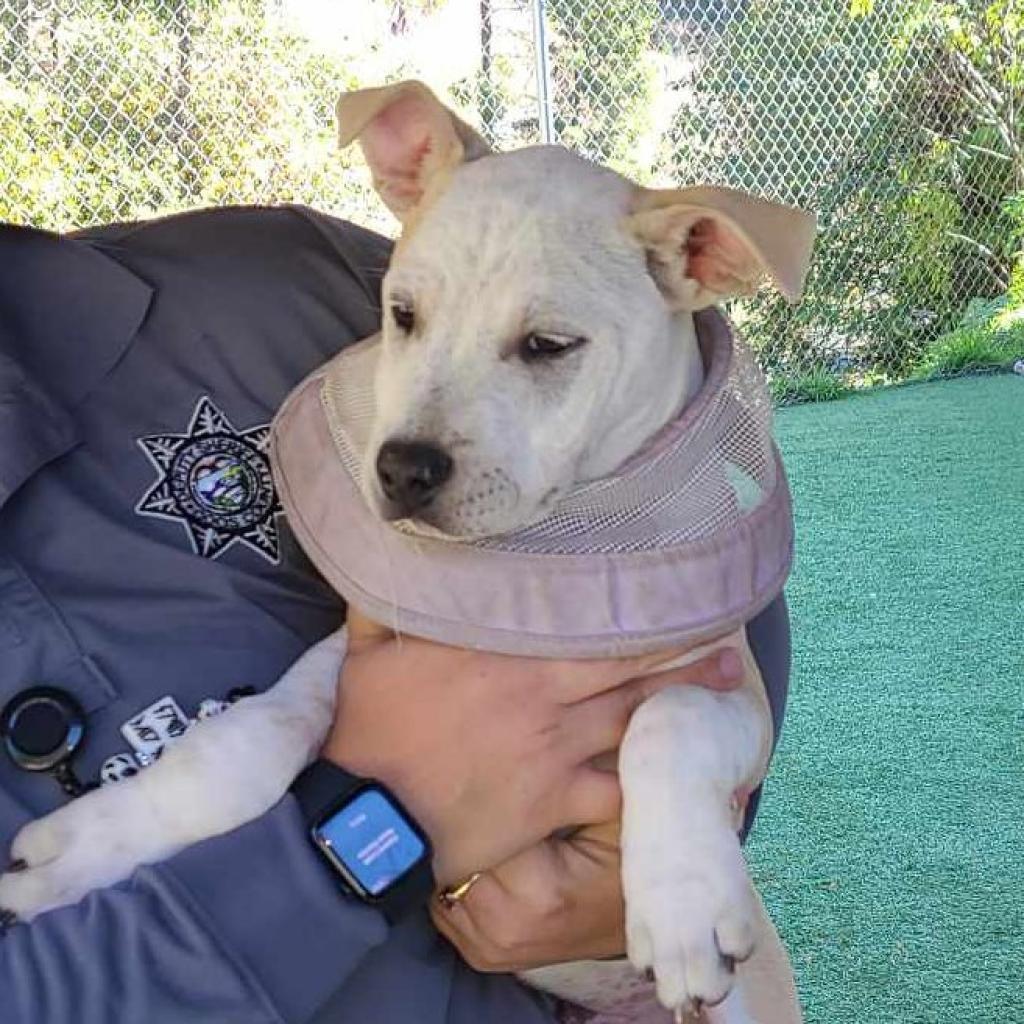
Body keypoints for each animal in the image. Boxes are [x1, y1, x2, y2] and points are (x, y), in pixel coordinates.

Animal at [0, 83, 815, 1024]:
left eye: (547, 346)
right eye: (403, 315)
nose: (401, 470)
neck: (525, 552)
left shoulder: (726, 684)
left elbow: (670, 717)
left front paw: (682, 903)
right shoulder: (359, 651)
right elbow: (249, 740)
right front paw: (82, 849)